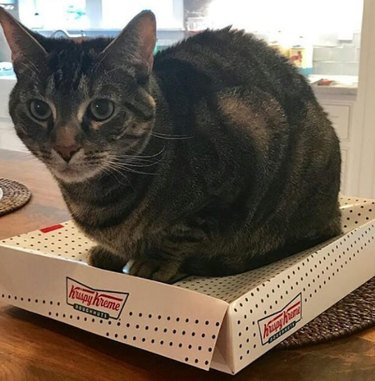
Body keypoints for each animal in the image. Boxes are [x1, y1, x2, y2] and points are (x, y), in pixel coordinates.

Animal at [0, 8, 342, 282]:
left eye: (101, 109)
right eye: (39, 109)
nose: (66, 148)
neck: (93, 198)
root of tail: (336, 216)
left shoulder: (241, 154)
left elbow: (183, 232)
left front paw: (154, 262)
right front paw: (113, 253)